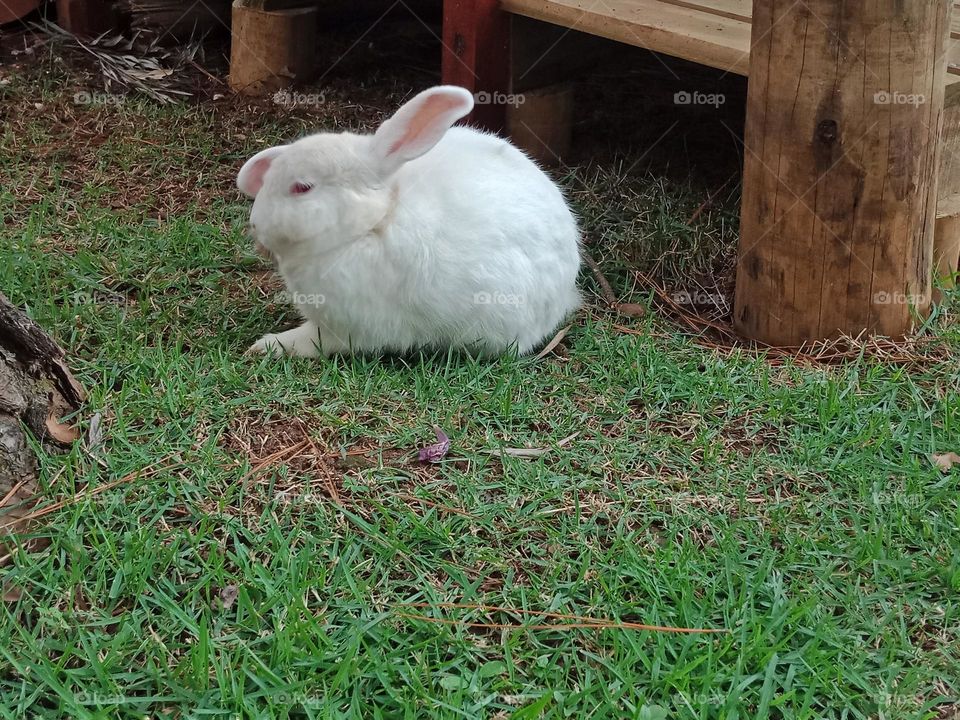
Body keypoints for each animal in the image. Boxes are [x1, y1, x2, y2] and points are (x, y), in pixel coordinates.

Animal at [237, 85, 582, 358]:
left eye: (302, 187)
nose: (255, 225)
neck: (374, 223)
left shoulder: (346, 330)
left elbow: (311, 340)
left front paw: (267, 345)